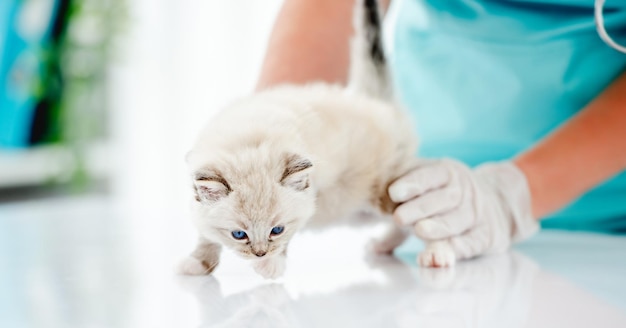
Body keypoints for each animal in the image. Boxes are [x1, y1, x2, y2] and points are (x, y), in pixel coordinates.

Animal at [178, 0, 416, 280]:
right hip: (355, 211)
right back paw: (384, 246)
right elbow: (205, 234)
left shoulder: (310, 198)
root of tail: (377, 102)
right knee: (401, 223)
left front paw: (271, 266)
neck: (249, 140)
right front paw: (198, 262)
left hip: (383, 191)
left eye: (276, 230)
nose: (260, 254)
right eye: (239, 234)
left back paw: (437, 254)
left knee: (411, 217)